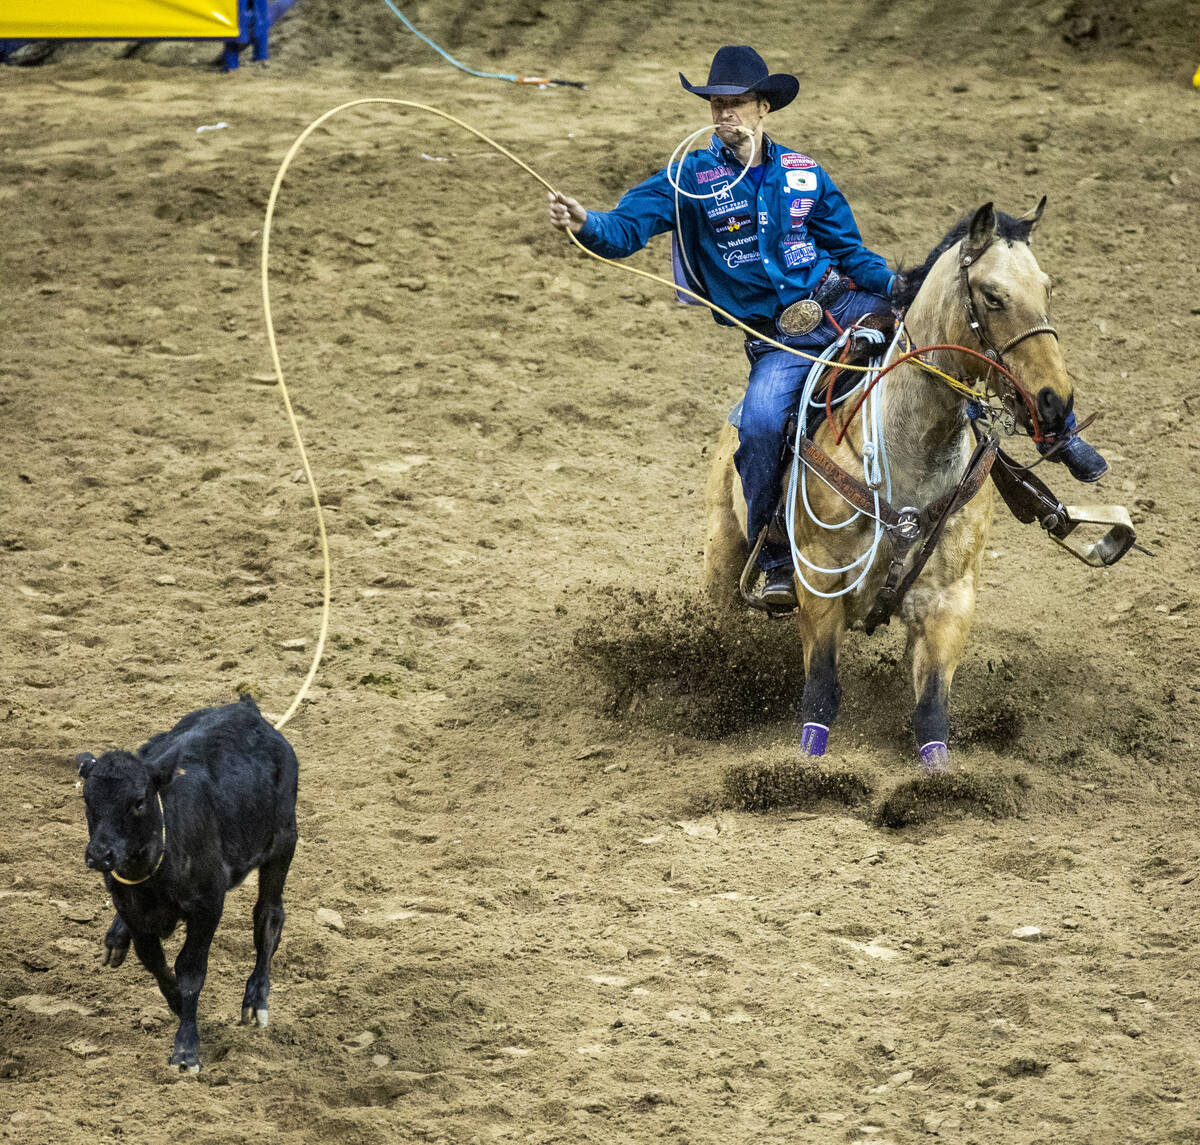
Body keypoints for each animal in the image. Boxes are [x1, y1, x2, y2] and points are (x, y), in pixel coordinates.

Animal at [76, 696, 297, 1070]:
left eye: (139, 801)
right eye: (88, 800)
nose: (99, 855)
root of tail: (246, 708)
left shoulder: (208, 905)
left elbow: (190, 971)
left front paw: (186, 1047)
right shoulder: (132, 910)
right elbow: (155, 963)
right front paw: (179, 1006)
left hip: (283, 844)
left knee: (269, 917)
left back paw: (256, 1000)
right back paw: (115, 938)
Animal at [700, 198, 1075, 768]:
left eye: (1047, 288)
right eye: (992, 296)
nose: (1056, 401)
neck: (911, 454)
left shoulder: (949, 602)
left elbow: (931, 713)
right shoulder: (821, 583)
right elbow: (822, 692)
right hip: (723, 549)